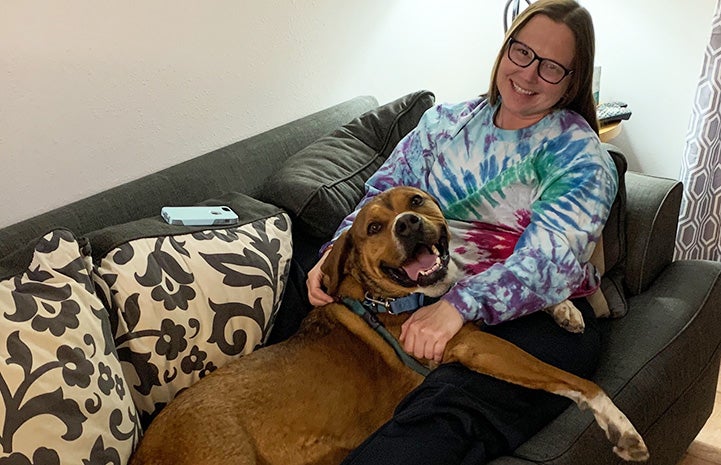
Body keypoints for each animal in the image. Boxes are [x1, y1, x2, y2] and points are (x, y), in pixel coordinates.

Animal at [128, 186, 648, 464]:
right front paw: (618, 424)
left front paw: (565, 307)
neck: (389, 298)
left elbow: (491, 285)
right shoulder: (472, 346)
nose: (408, 223)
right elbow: (574, 380)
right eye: (373, 229)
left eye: (415, 200)